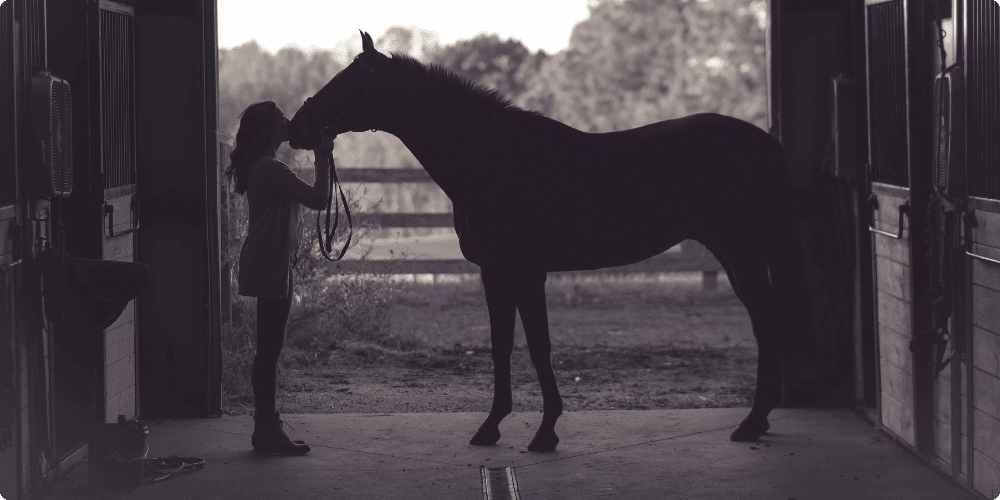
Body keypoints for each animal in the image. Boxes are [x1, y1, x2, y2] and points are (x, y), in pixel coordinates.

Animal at [288, 30, 812, 454]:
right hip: (734, 254)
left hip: (744, 253)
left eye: (347, 83)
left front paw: (545, 432)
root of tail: (767, 142)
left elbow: (538, 346)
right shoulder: (494, 272)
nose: (295, 128)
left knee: (768, 324)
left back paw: (751, 423)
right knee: (767, 323)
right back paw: (757, 421)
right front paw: (491, 427)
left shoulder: (525, 271)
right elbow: (502, 345)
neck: (491, 158)